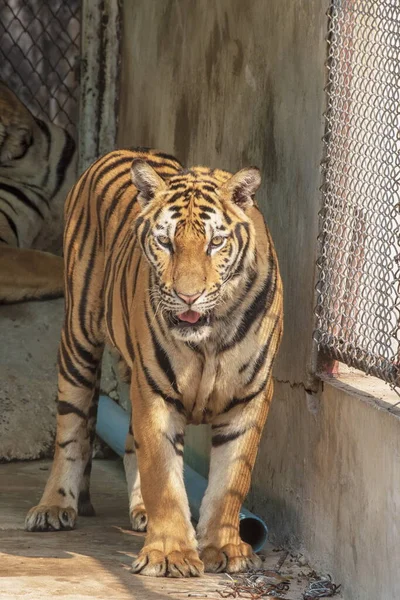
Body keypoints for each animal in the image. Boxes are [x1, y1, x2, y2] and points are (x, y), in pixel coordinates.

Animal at [25, 148, 282, 580]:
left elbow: (231, 481)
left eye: (215, 243)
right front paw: (170, 555)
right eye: (165, 242)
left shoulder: (251, 395)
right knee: (71, 431)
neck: (209, 339)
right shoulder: (155, 391)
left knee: (130, 443)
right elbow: (164, 477)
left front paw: (225, 549)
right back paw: (55, 507)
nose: (188, 296)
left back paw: (140, 510)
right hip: (78, 339)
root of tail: (122, 151)